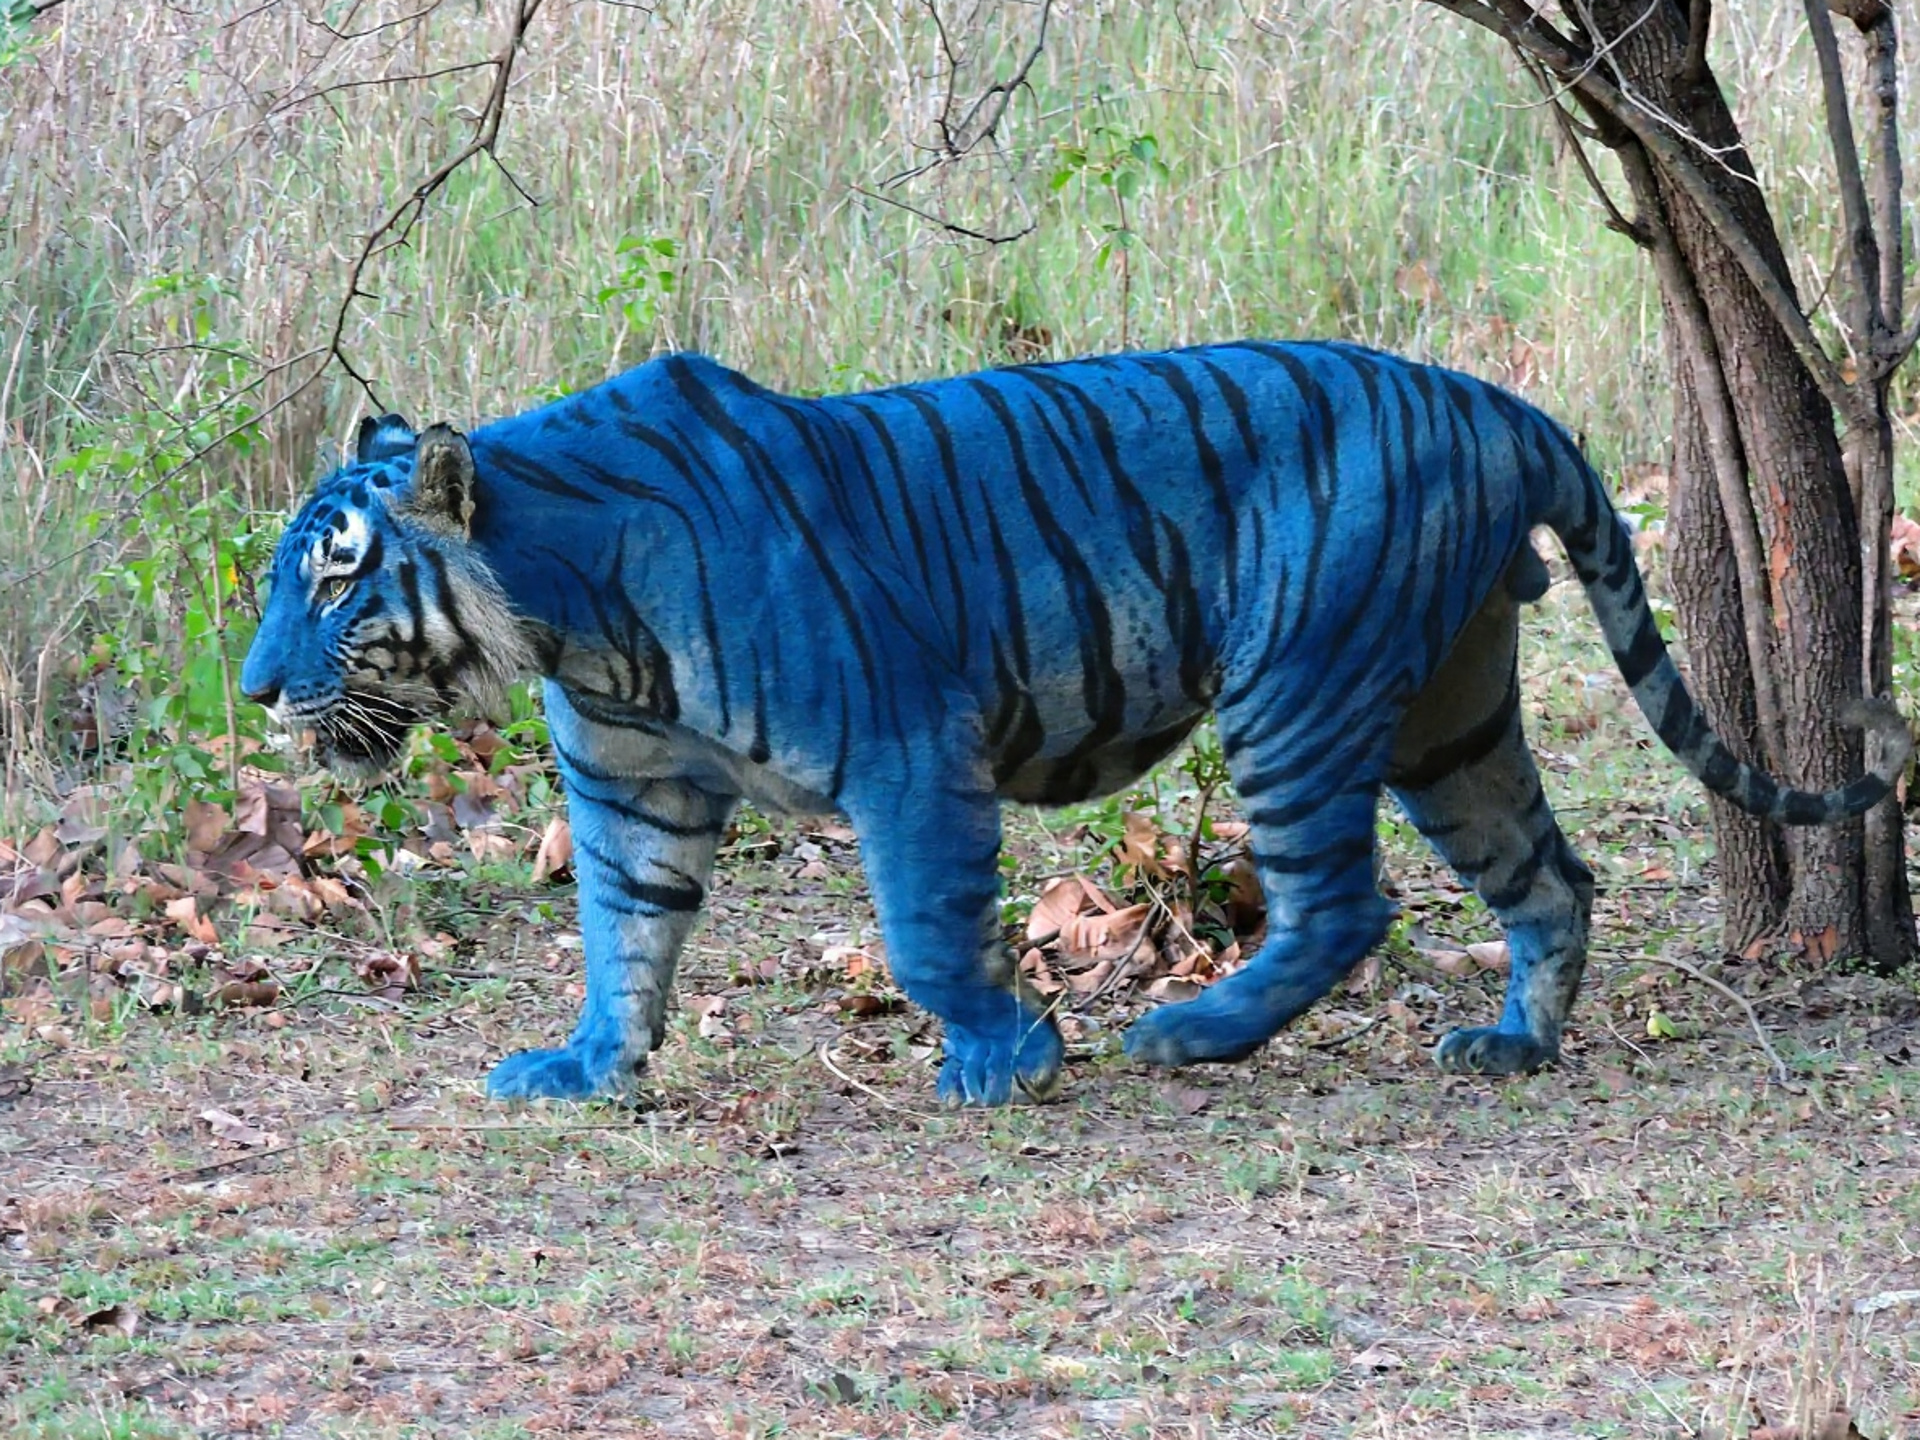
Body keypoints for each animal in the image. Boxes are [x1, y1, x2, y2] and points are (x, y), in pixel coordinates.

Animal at [240, 341, 1911, 1106]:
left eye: (336, 575)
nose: (252, 690)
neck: (568, 612)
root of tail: (1496, 400)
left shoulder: (908, 749)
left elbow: (926, 929)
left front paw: (1008, 1057)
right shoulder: (634, 791)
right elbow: (622, 933)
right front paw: (587, 1066)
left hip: (1300, 690)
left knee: (1344, 901)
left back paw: (1193, 1031)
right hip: (1455, 709)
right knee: (1549, 874)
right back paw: (1513, 1045)